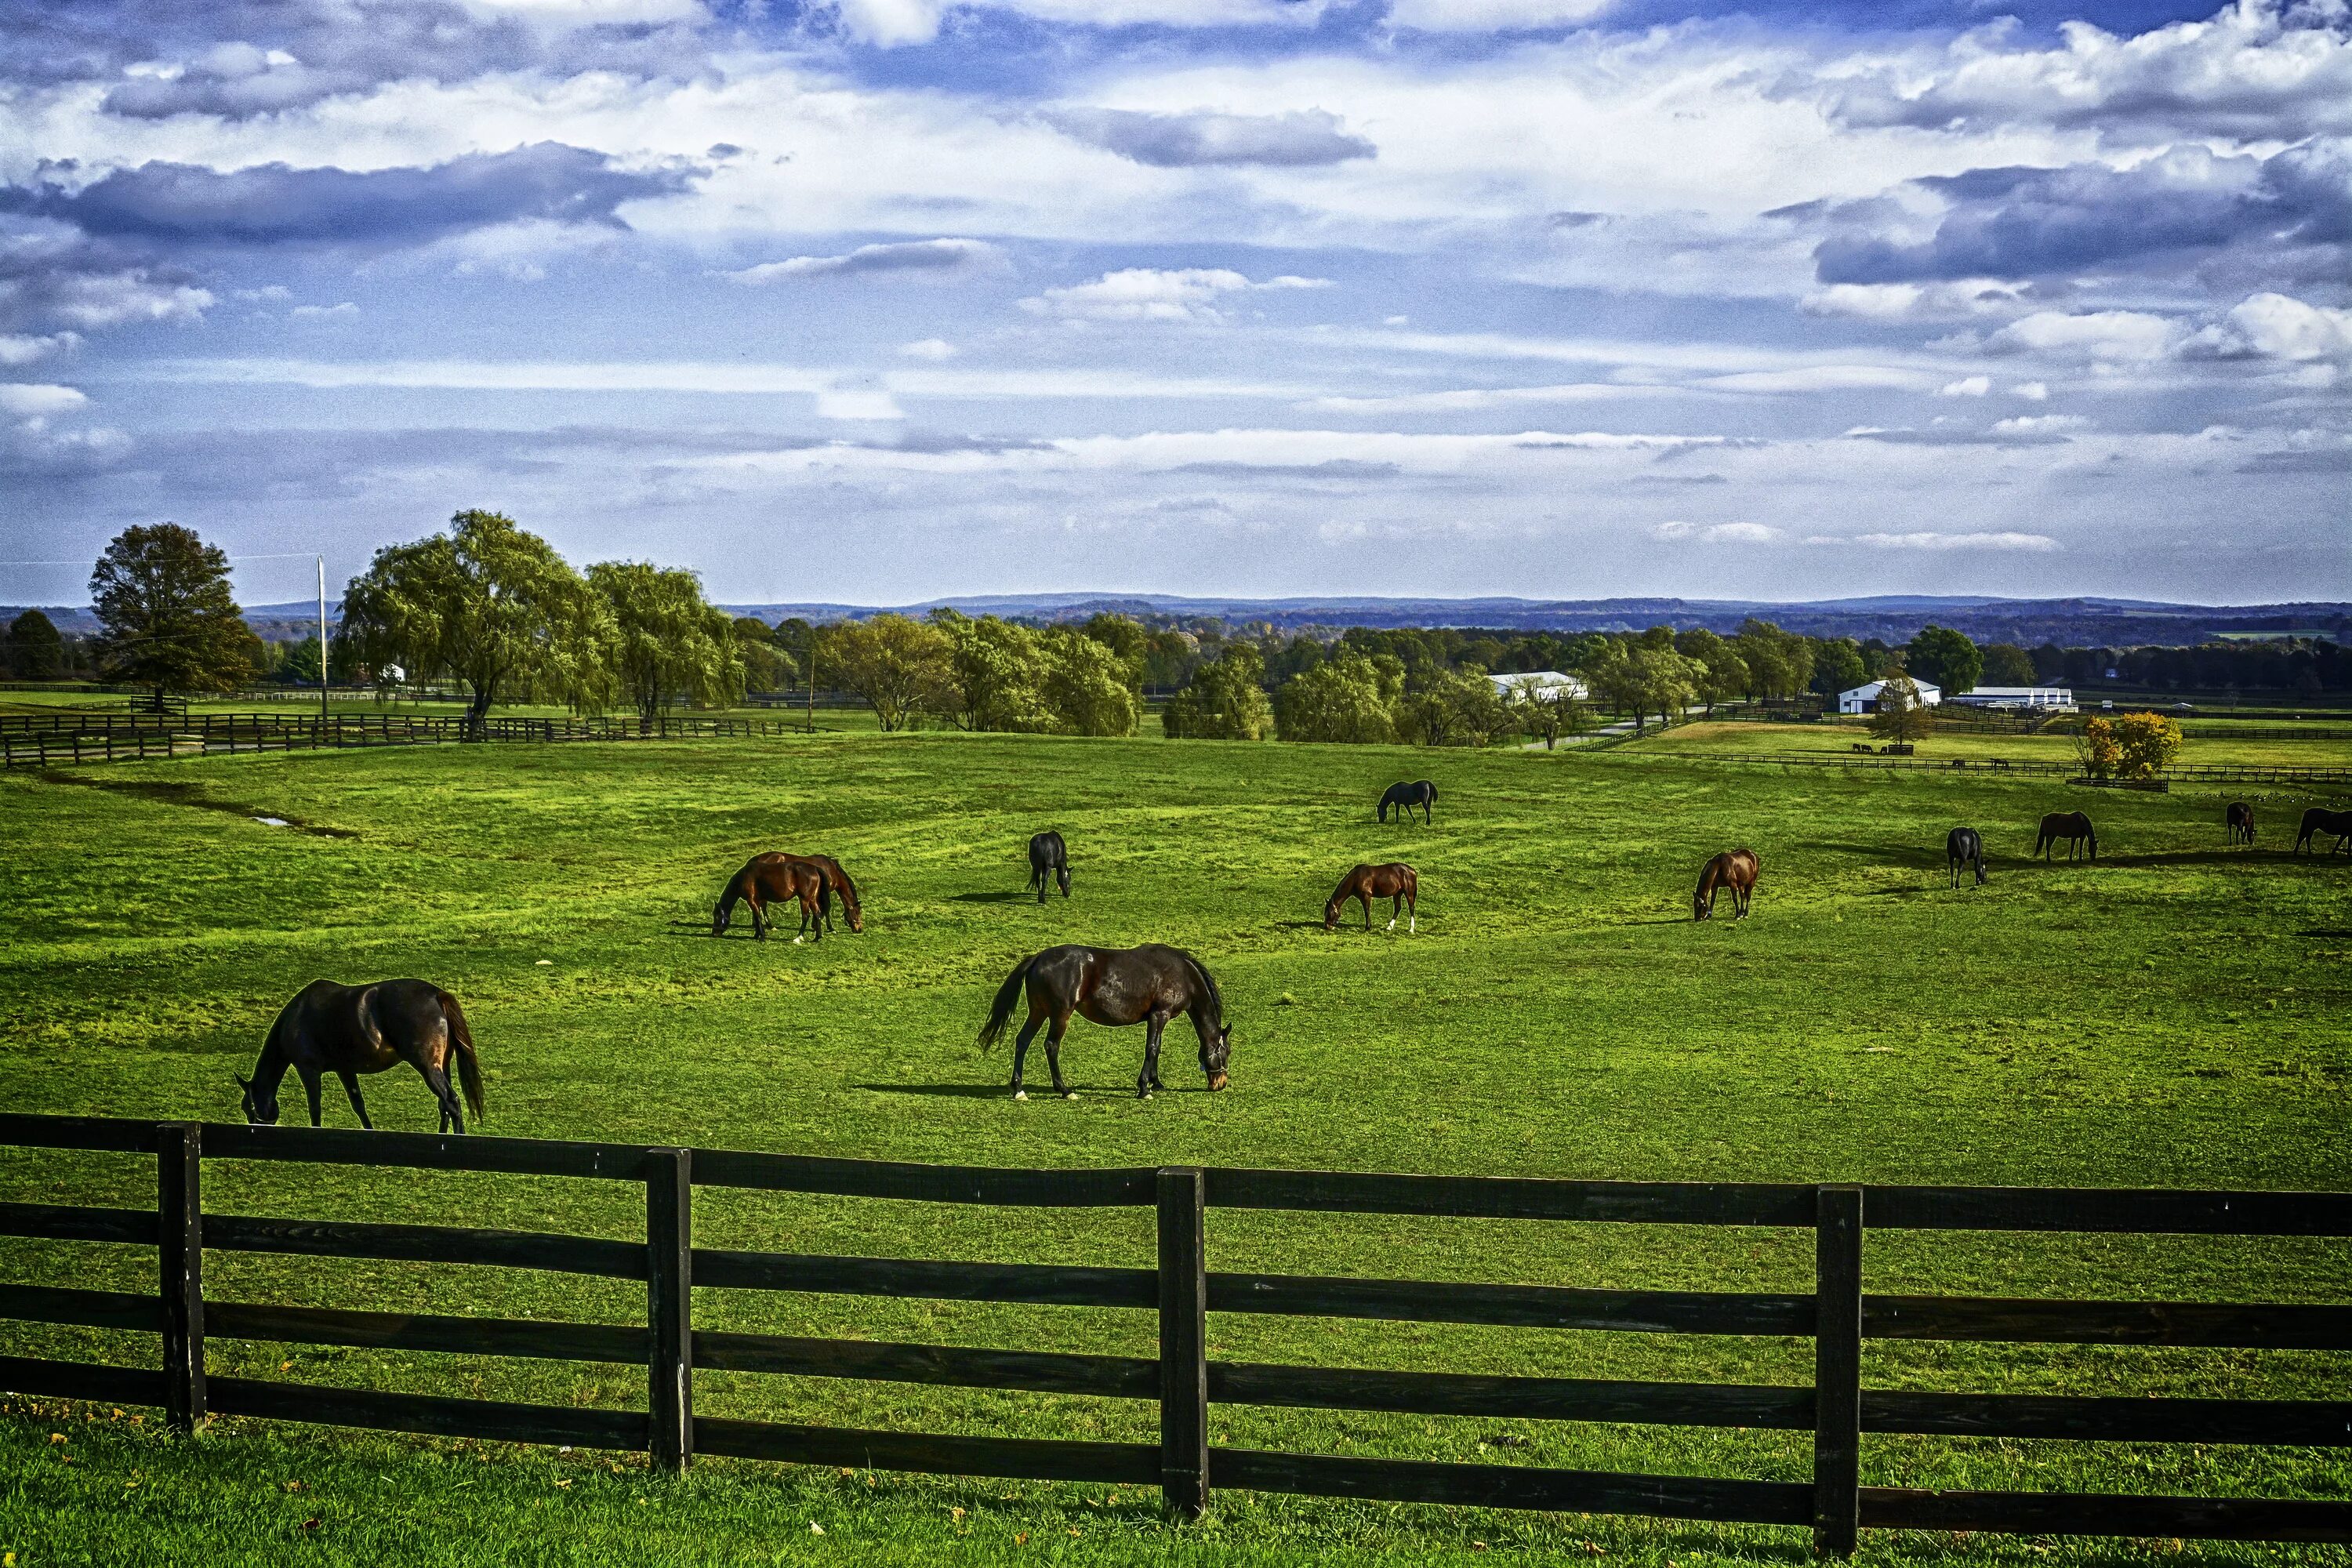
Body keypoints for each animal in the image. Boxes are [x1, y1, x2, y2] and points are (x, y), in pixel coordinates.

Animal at [241, 973, 485, 1133]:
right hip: (441, 1065)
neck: (295, 1018)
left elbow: (315, 1107)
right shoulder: (345, 1070)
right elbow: (358, 1104)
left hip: (428, 1067)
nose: (254, 1130)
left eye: (248, 1107)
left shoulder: (308, 1069)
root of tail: (437, 994)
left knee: (451, 1101)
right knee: (444, 1105)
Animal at [710, 851, 833, 940]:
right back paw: (817, 938)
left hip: (804, 899)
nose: (714, 933)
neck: (744, 877)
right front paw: (757, 935)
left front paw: (762, 936)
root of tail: (815, 869)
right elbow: (757, 916)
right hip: (812, 899)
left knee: (806, 916)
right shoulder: (757, 900)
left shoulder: (751, 900)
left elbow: (758, 917)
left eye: (716, 916)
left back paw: (799, 937)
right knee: (817, 914)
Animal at [974, 945, 1232, 1105]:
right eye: (1227, 1052)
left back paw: (1019, 1089)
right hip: (1059, 1015)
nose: (1221, 1084)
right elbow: (1152, 1049)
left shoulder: (1159, 1017)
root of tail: (1038, 957)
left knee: (1022, 1041)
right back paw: (1065, 1090)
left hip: (1038, 1012)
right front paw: (1144, 1088)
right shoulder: (1160, 1014)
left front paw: (1155, 1082)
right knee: (1051, 1046)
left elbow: (1156, 1049)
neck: (1183, 974)